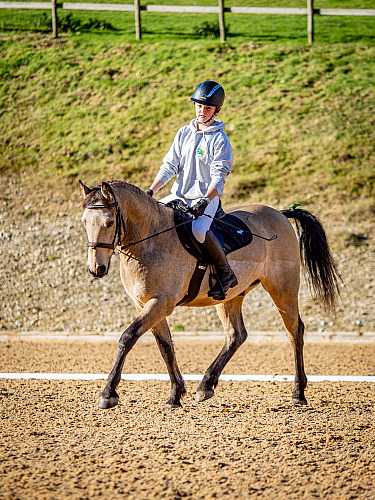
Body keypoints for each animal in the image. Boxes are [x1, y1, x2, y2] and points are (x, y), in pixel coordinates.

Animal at [79, 180, 340, 410]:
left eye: (109, 222)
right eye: (84, 222)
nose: (96, 268)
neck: (149, 240)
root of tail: (280, 214)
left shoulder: (161, 303)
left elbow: (128, 337)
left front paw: (108, 394)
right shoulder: (145, 304)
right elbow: (165, 346)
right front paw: (175, 395)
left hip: (283, 289)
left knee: (294, 331)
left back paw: (298, 393)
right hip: (230, 297)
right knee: (236, 335)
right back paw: (205, 386)